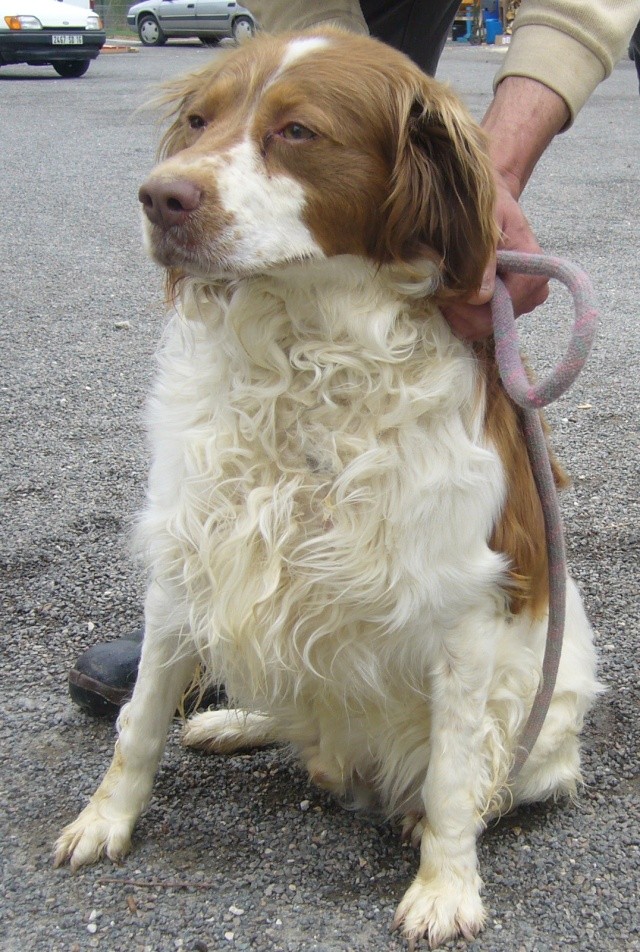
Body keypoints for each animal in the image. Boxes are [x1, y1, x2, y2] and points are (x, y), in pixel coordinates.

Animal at [55, 26, 600, 948]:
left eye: (298, 131)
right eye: (199, 121)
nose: (160, 197)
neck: (301, 351)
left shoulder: (462, 607)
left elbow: (454, 775)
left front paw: (446, 886)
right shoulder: (186, 560)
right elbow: (139, 720)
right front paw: (105, 820)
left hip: (546, 720)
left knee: (487, 775)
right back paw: (232, 720)